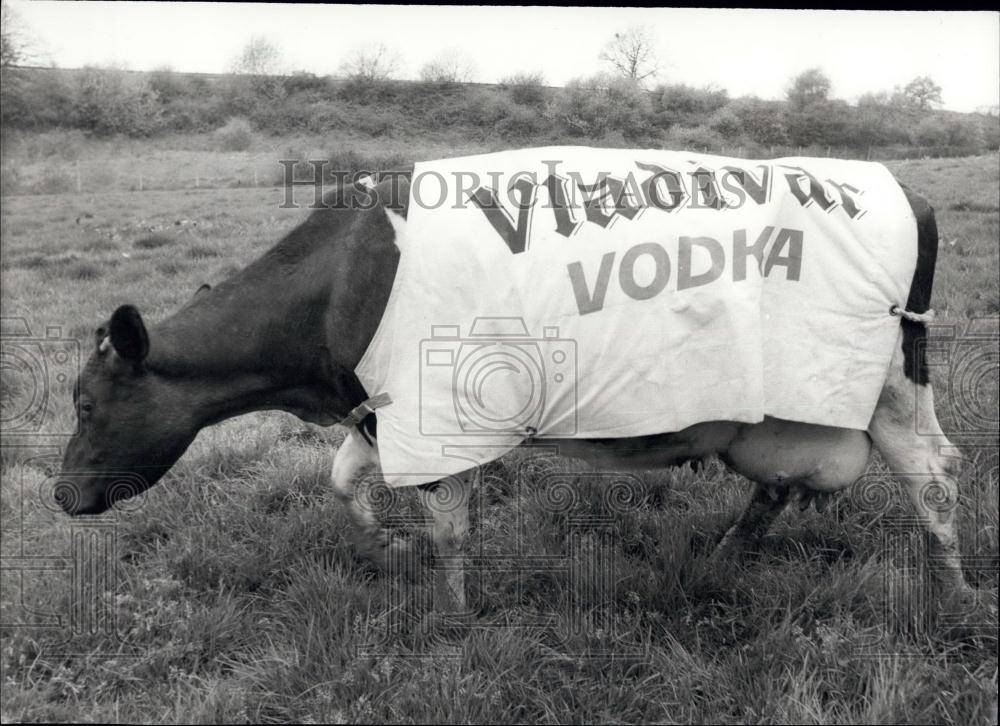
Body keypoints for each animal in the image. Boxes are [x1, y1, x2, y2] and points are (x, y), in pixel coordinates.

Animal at [54, 161, 976, 620]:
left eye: (87, 405)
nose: (60, 494)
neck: (343, 275)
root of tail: (905, 190)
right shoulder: (378, 408)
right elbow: (345, 482)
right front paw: (387, 551)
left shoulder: (426, 411)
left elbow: (448, 524)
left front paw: (457, 619)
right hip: (782, 407)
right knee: (781, 482)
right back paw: (724, 557)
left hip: (888, 383)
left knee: (933, 471)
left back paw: (955, 595)